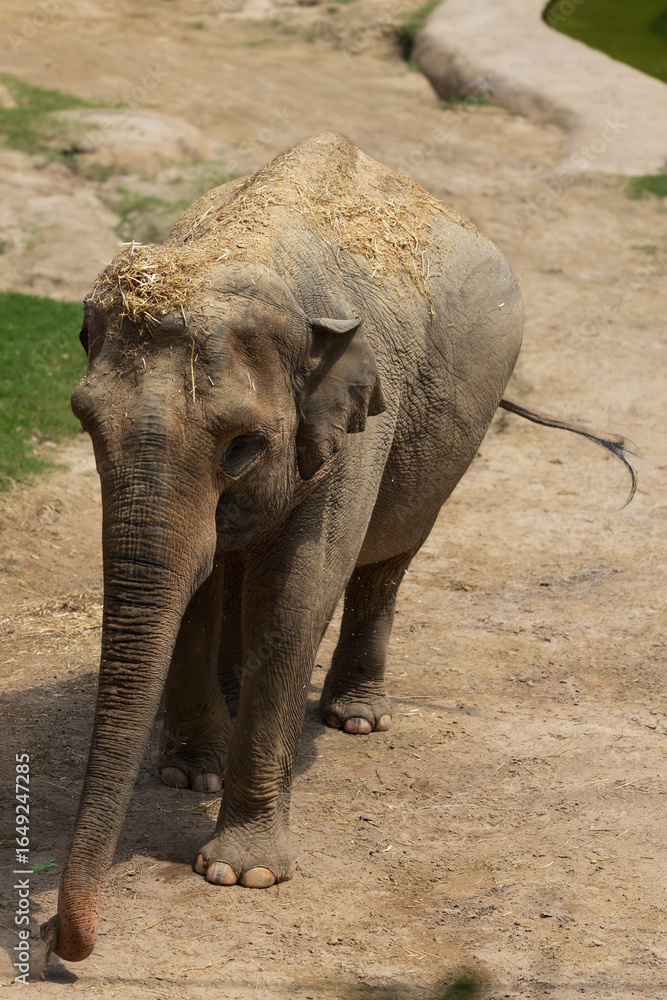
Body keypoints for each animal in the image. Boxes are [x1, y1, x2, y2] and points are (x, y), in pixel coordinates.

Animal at [40, 132, 634, 967]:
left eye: (243, 446)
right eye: (84, 421)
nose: (61, 942)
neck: (245, 248)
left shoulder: (359, 420)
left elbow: (298, 590)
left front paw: (243, 875)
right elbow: (201, 581)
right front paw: (189, 777)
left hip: (448, 439)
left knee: (389, 555)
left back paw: (355, 718)